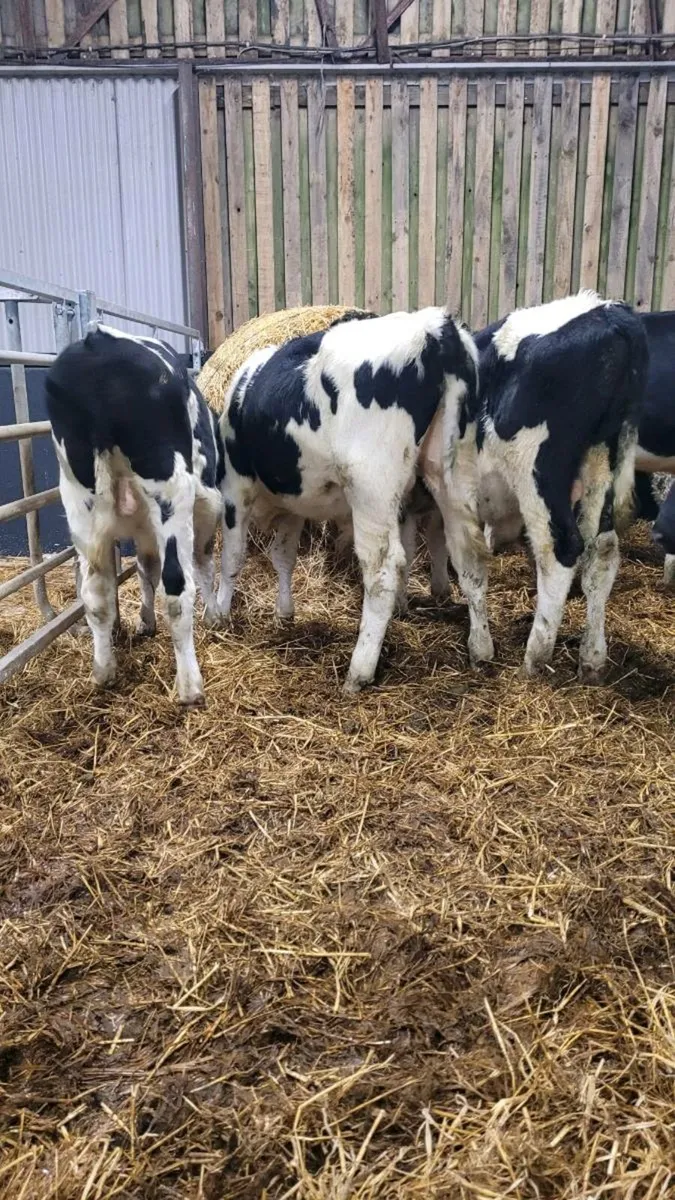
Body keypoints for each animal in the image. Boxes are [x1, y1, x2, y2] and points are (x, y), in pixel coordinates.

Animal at [45, 325, 224, 705]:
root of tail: (96, 342)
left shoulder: (144, 532)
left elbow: (145, 570)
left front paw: (144, 621)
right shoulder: (207, 509)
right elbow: (202, 564)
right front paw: (215, 615)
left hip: (80, 503)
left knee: (96, 594)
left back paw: (103, 671)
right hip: (172, 492)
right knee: (177, 586)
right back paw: (189, 687)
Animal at [215, 307, 479, 693]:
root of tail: (433, 324)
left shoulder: (235, 489)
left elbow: (232, 557)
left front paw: (217, 614)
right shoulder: (294, 504)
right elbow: (283, 557)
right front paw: (284, 612)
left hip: (371, 487)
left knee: (384, 570)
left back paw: (359, 670)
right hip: (455, 478)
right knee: (468, 551)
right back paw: (481, 648)